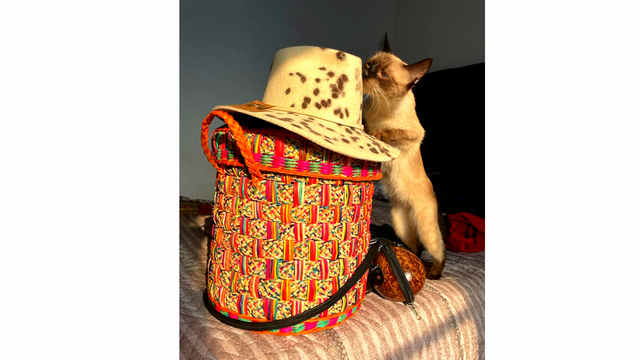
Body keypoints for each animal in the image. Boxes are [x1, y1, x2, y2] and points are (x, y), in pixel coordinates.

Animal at [362, 34, 448, 282]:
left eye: (383, 75)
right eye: (369, 65)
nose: (365, 74)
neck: (382, 106)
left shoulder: (414, 134)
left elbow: (391, 133)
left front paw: (377, 134)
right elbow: (365, 122)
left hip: (426, 229)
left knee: (439, 251)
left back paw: (433, 274)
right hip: (401, 225)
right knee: (416, 248)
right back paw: (406, 259)